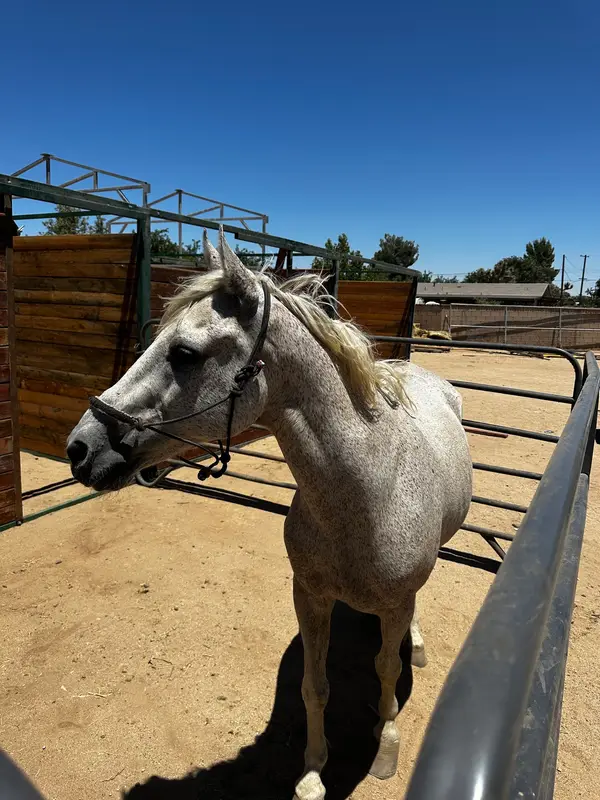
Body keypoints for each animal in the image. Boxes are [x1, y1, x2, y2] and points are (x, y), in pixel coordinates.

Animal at [67, 230, 472, 800]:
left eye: (184, 353)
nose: (80, 448)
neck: (368, 495)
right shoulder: (310, 596)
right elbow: (315, 685)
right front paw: (312, 773)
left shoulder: (394, 603)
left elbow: (387, 671)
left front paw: (385, 744)